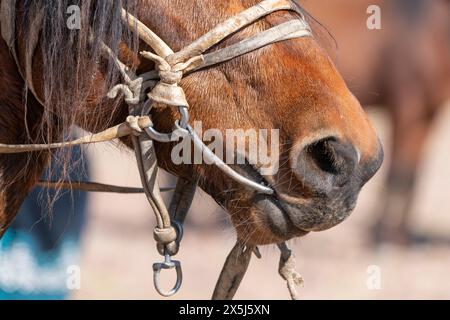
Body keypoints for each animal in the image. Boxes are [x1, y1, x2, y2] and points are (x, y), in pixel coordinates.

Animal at [302, 0, 450, 245]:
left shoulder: (427, 115)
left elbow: (410, 177)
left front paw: (400, 236)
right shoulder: (407, 108)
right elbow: (397, 175)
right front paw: (382, 235)